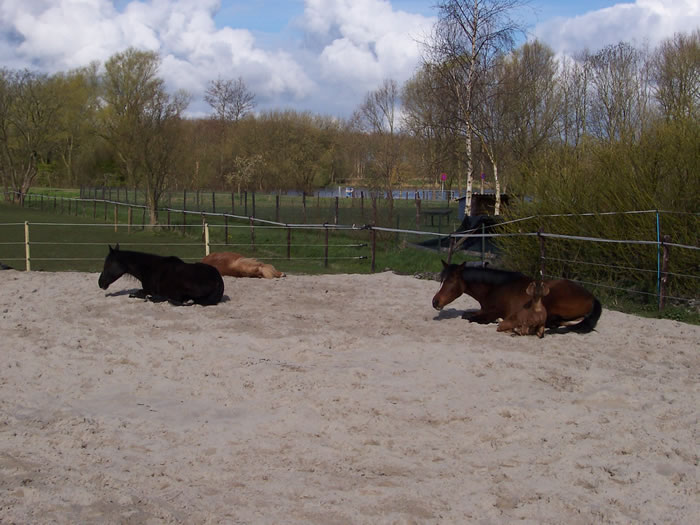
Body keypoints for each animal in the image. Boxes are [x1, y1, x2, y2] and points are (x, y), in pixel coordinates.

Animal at [432, 261, 602, 333]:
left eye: (450, 281)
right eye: (441, 279)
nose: (435, 302)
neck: (495, 288)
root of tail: (591, 296)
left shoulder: (491, 313)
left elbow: (472, 318)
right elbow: (466, 315)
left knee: (558, 321)